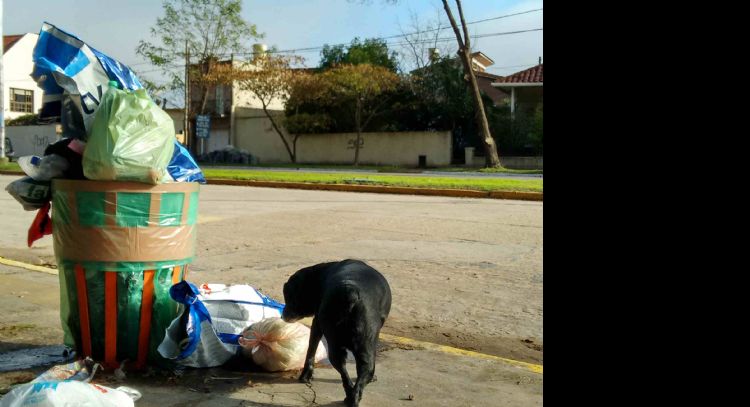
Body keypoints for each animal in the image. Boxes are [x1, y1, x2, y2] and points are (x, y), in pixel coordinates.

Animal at [282, 262, 394, 407]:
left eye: (289, 296)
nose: (283, 314)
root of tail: (350, 292)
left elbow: (311, 348)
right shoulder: (317, 322)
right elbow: (311, 348)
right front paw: (306, 376)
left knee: (350, 366)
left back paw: (352, 396)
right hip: (356, 339)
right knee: (360, 368)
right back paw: (352, 396)